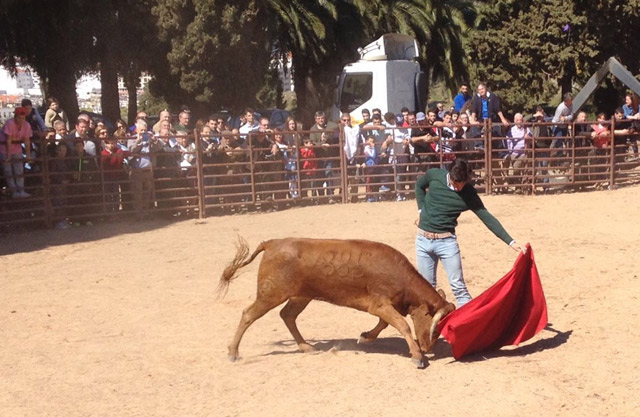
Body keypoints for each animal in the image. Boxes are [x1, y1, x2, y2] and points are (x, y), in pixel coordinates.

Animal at [218, 237, 458, 368]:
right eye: (436, 326)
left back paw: (306, 347)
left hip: (301, 296)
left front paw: (365, 337)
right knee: (248, 315)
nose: (427, 347)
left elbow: (384, 324)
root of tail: (272, 243)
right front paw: (417, 357)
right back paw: (232, 352)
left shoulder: (383, 307)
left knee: (287, 315)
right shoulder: (380, 304)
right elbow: (402, 325)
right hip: (271, 294)